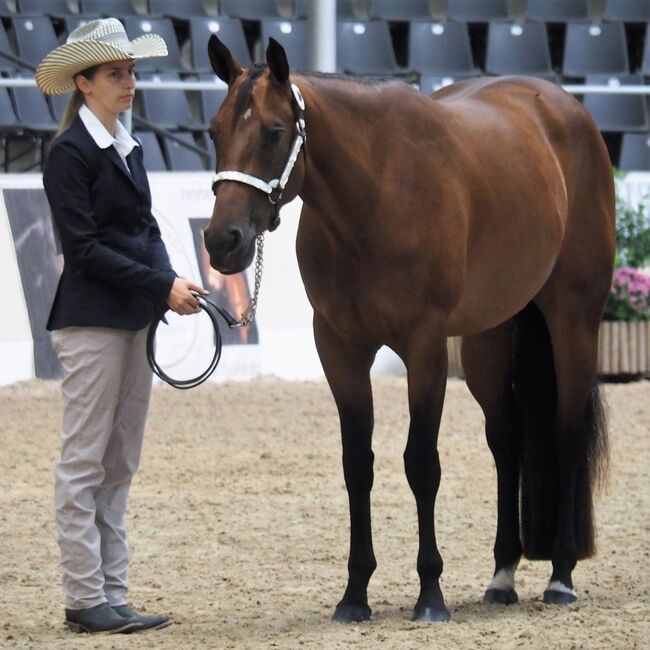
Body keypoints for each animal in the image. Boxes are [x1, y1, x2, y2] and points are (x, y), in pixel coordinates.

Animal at [202, 36, 612, 624]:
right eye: (214, 131)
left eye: (275, 132)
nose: (222, 242)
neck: (377, 193)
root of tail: (568, 110)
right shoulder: (339, 347)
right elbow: (357, 465)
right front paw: (354, 595)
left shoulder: (424, 346)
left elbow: (421, 463)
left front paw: (430, 594)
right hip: (489, 337)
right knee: (506, 439)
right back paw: (502, 575)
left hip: (573, 318)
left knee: (566, 431)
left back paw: (560, 577)